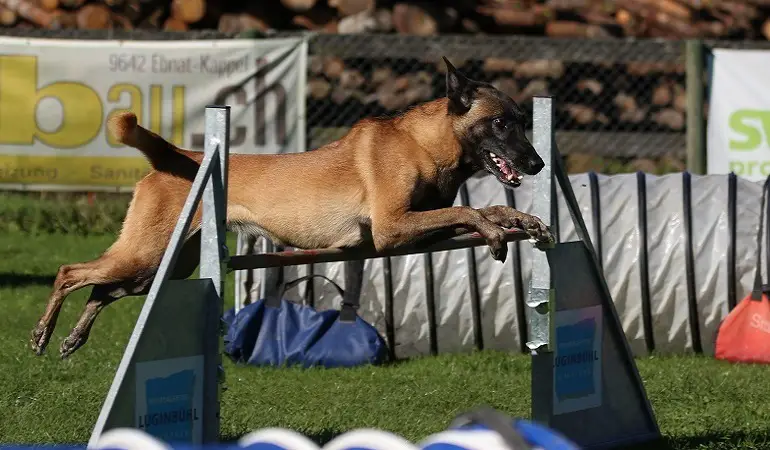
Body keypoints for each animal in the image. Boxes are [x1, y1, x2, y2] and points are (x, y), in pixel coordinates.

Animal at [30, 56, 552, 358]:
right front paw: (497, 237)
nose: (538, 163)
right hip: (145, 253)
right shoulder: (392, 228)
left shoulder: (416, 229)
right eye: (501, 124)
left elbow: (486, 210)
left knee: (102, 290)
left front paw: (524, 221)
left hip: (162, 267)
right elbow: (471, 213)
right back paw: (42, 333)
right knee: (70, 272)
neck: (426, 145)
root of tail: (178, 157)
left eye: (524, 121)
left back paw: (73, 338)